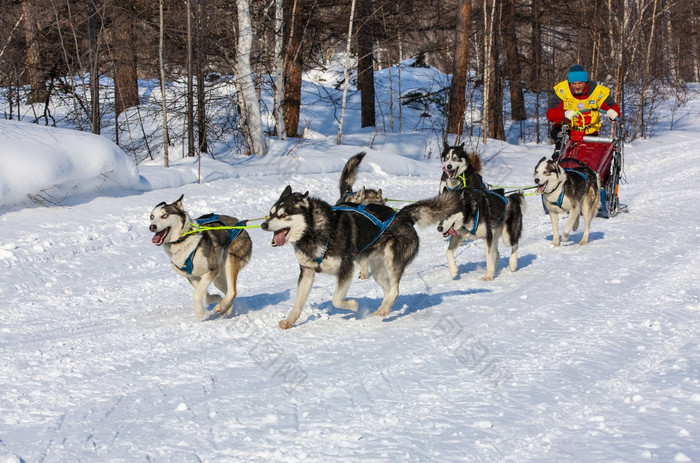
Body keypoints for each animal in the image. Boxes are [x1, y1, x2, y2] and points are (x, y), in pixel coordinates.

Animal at [260, 186, 462, 330]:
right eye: (270, 213)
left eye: (283, 215)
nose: (263, 225)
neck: (314, 230)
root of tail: (401, 214)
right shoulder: (307, 272)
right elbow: (298, 303)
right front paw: (290, 321)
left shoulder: (345, 269)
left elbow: (336, 300)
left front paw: (353, 305)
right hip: (378, 270)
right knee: (389, 289)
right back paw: (385, 306)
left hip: (393, 260)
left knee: (395, 289)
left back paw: (383, 309)